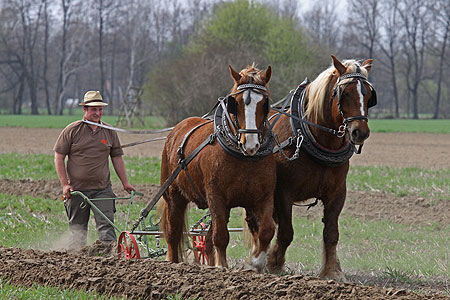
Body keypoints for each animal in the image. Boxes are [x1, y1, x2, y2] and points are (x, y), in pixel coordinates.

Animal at [160, 64, 276, 270]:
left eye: (264, 103)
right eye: (235, 102)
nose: (251, 144)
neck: (244, 158)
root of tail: (176, 130)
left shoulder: (264, 196)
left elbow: (267, 230)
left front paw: (256, 263)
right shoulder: (216, 195)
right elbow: (221, 236)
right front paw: (223, 267)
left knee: (206, 240)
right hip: (174, 195)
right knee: (173, 233)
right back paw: (174, 264)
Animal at [268, 54, 376, 282]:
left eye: (369, 95)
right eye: (345, 92)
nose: (360, 132)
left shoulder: (337, 193)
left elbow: (331, 234)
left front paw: (332, 270)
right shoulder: (283, 193)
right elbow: (286, 232)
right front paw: (274, 263)